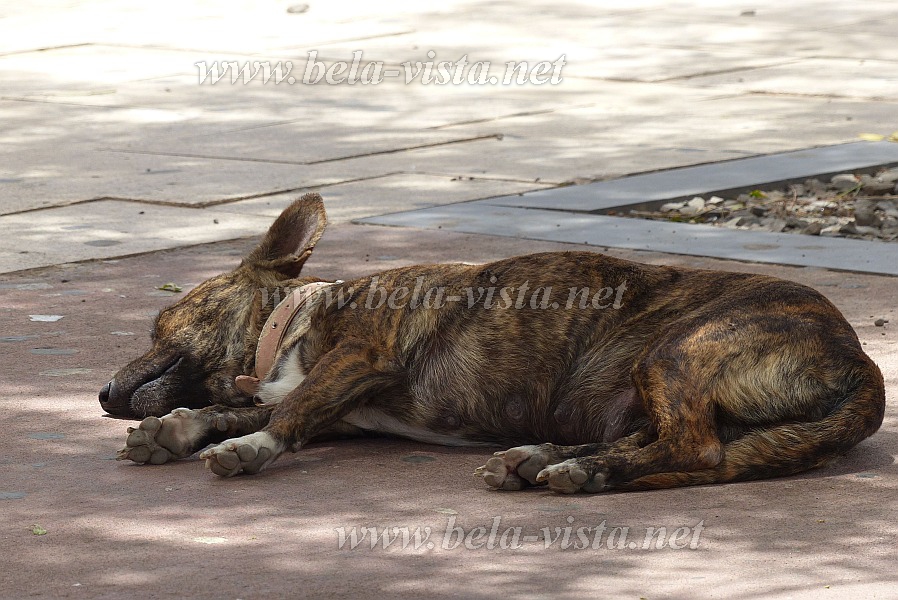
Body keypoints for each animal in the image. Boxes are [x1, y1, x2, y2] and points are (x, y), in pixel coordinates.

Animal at [103, 195, 880, 494]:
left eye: (159, 323)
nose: (104, 394)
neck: (290, 324)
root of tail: (863, 369)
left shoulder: (361, 358)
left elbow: (283, 415)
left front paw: (244, 447)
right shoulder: (342, 408)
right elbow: (245, 407)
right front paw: (180, 429)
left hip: (676, 353)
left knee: (697, 449)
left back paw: (571, 469)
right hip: (649, 393)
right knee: (674, 448)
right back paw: (558, 464)